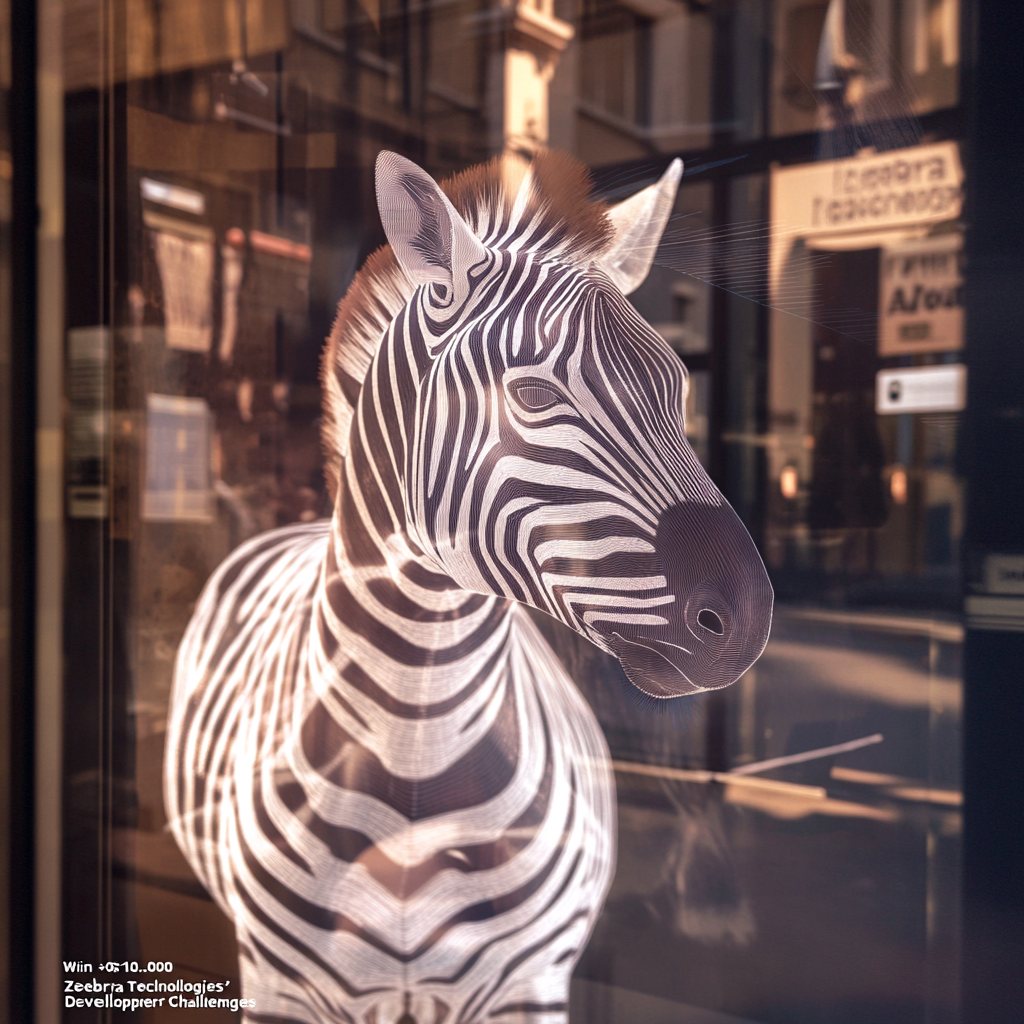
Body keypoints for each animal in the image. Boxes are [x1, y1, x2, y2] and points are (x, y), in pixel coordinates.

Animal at [165, 149, 774, 1024]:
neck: (418, 738)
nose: (751, 617)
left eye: (680, 394)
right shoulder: (277, 985)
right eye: (534, 396)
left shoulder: (532, 985)